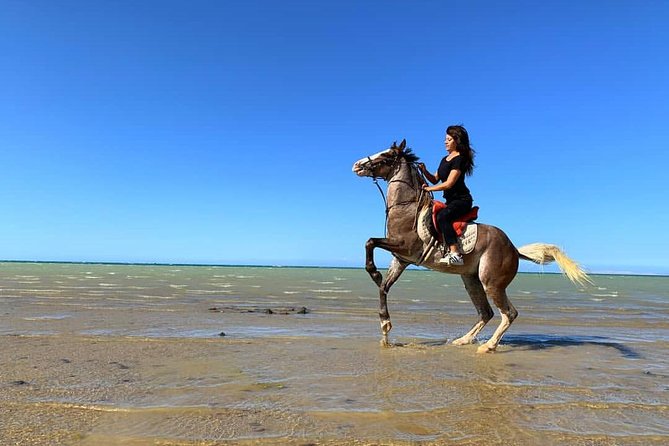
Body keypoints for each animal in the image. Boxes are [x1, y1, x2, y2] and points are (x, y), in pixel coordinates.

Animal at [352, 140, 591, 353]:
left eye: (386, 155)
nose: (356, 165)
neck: (406, 206)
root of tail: (513, 249)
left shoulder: (405, 247)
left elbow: (370, 241)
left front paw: (374, 273)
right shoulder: (401, 259)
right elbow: (383, 286)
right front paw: (385, 325)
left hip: (491, 282)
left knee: (509, 313)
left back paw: (488, 346)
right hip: (471, 280)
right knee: (486, 313)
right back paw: (463, 340)